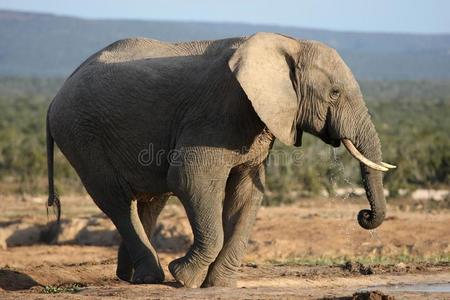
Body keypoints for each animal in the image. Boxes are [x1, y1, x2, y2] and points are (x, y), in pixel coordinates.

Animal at [45, 32, 394, 288]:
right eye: (334, 93)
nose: (363, 215)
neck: (288, 43)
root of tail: (53, 100)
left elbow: (247, 193)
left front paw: (220, 284)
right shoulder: (217, 113)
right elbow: (190, 179)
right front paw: (184, 278)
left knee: (150, 200)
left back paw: (133, 278)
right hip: (81, 133)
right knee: (116, 199)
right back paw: (152, 276)